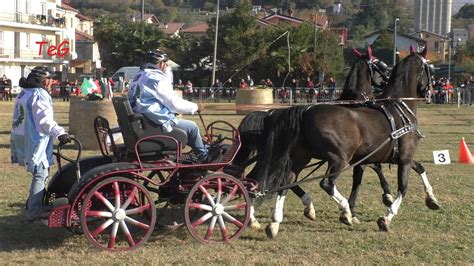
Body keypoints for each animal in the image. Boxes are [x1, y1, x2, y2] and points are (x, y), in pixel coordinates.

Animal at [252, 47, 434, 233]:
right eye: (381, 66)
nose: (429, 92)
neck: (398, 108)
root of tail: (304, 112)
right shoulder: (402, 158)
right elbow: (402, 187)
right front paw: (385, 215)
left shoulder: (392, 157)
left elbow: (419, 167)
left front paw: (432, 199)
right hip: (339, 159)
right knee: (325, 183)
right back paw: (344, 211)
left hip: (300, 157)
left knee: (285, 180)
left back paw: (275, 221)